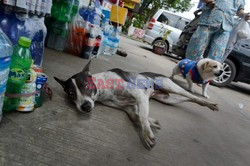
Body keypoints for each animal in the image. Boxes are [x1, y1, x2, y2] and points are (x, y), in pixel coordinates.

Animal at [55, 61, 219, 149]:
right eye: (71, 93)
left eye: (85, 86)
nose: (85, 107)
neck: (103, 88)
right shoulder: (128, 107)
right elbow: (137, 116)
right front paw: (152, 122)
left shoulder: (140, 95)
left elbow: (142, 116)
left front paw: (147, 134)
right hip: (168, 99)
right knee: (189, 100)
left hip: (171, 87)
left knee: (193, 97)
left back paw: (209, 103)